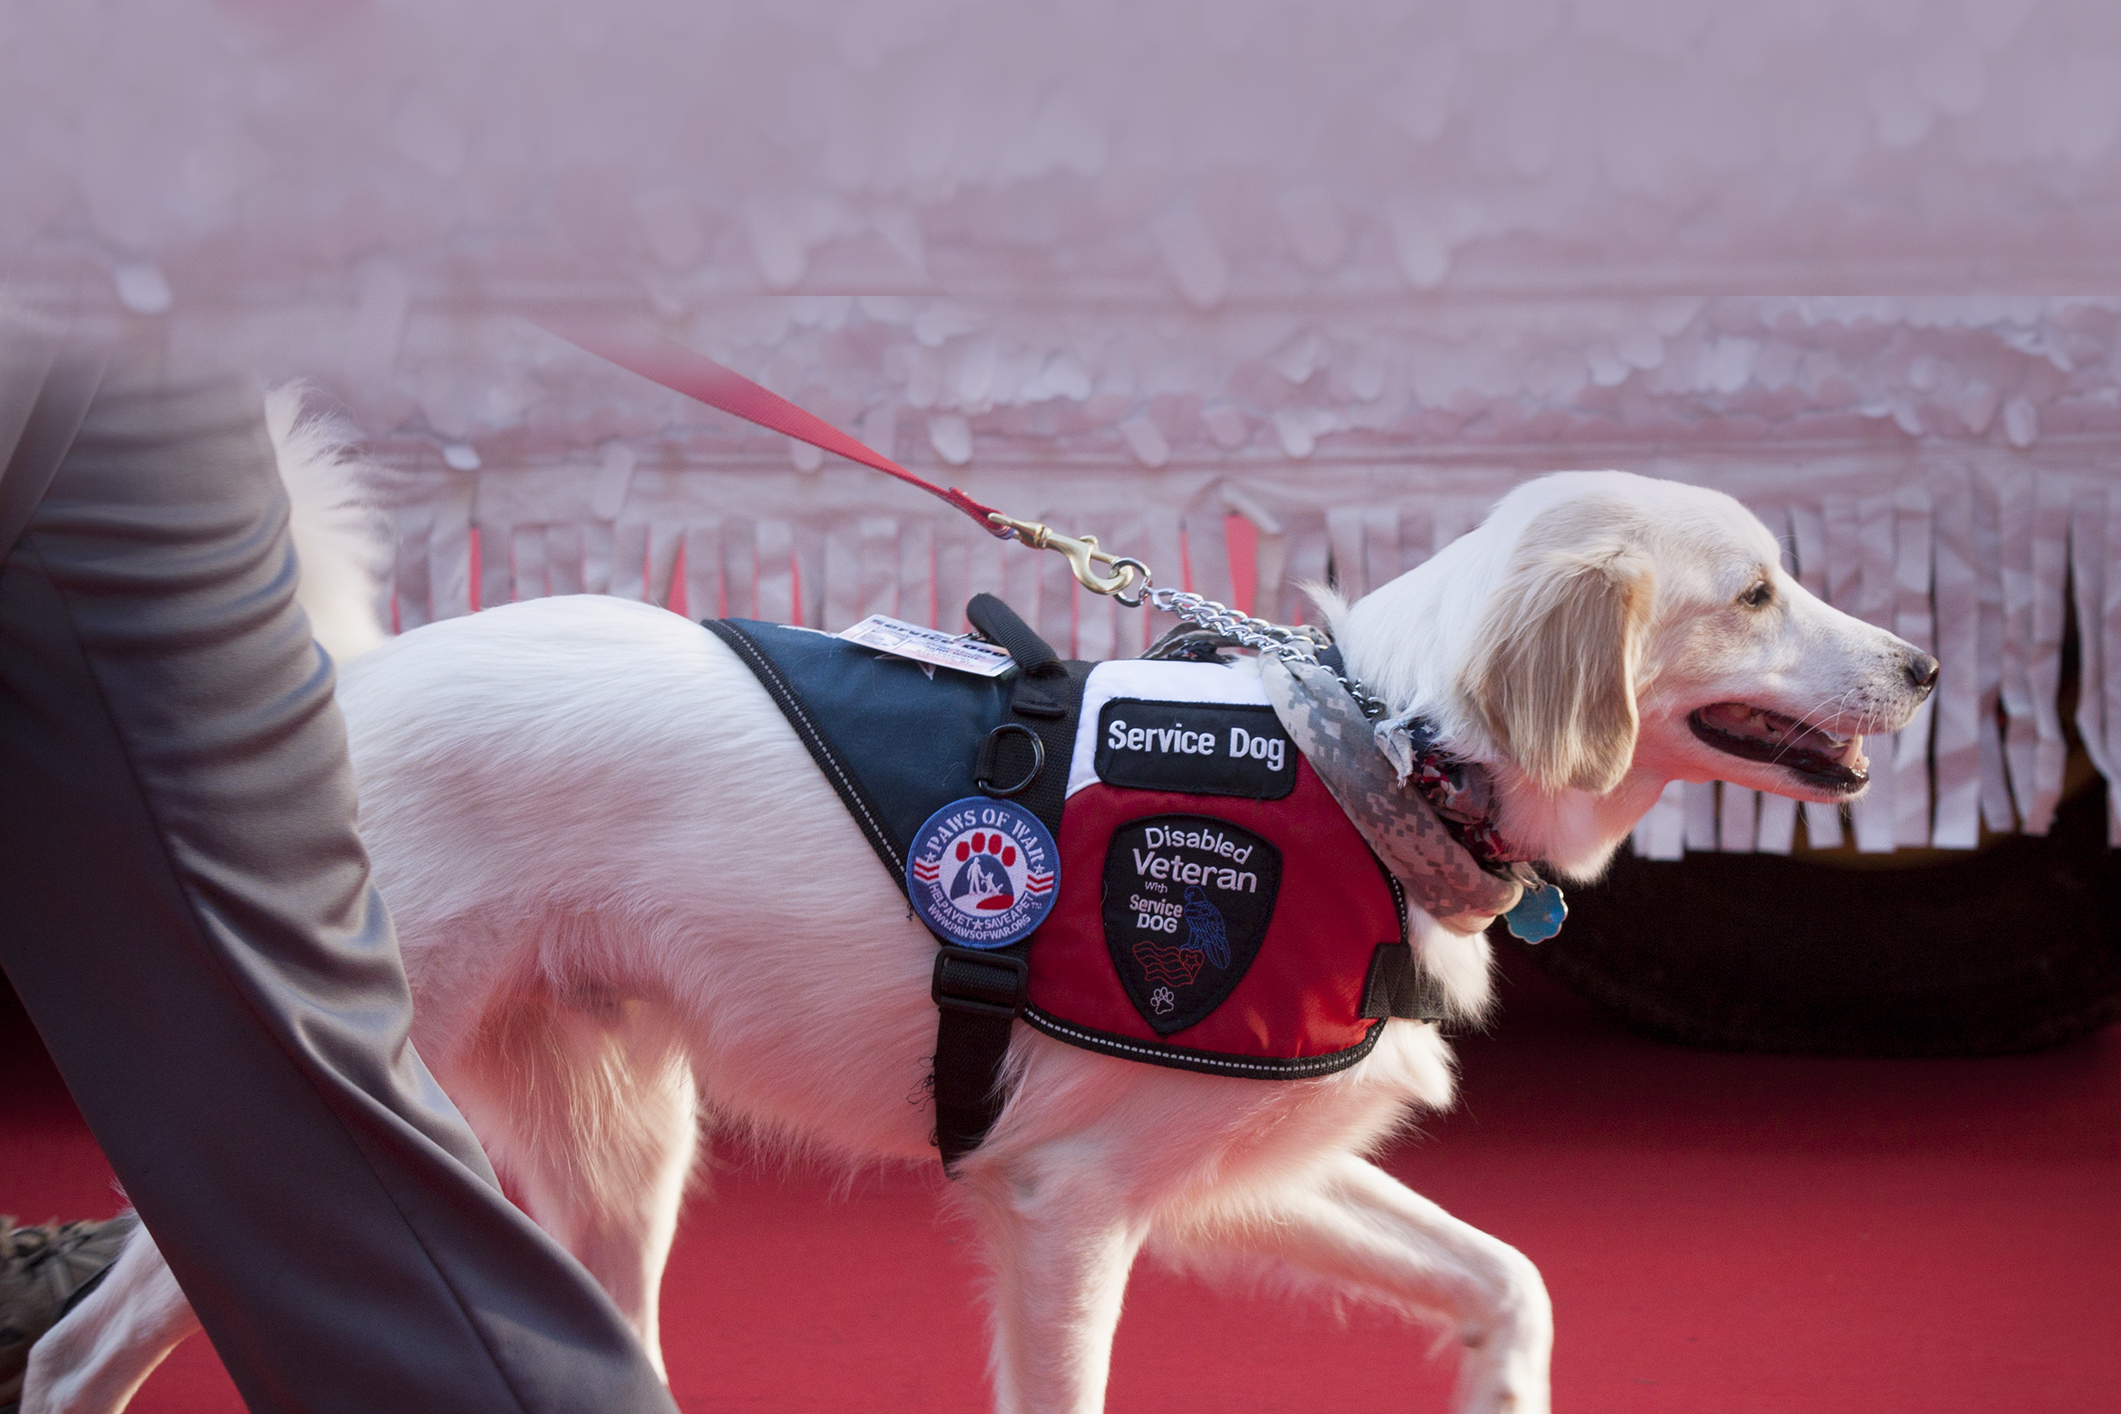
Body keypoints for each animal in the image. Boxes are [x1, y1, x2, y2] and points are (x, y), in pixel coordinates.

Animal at [24, 451, 1942, 1407]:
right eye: (1752, 592)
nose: (1927, 665)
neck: (1375, 749)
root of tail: (338, 693)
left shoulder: (1224, 1168)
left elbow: (1513, 1280)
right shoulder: (1067, 1205)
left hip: (613, 1153)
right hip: (343, 1108)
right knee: (68, 1349)